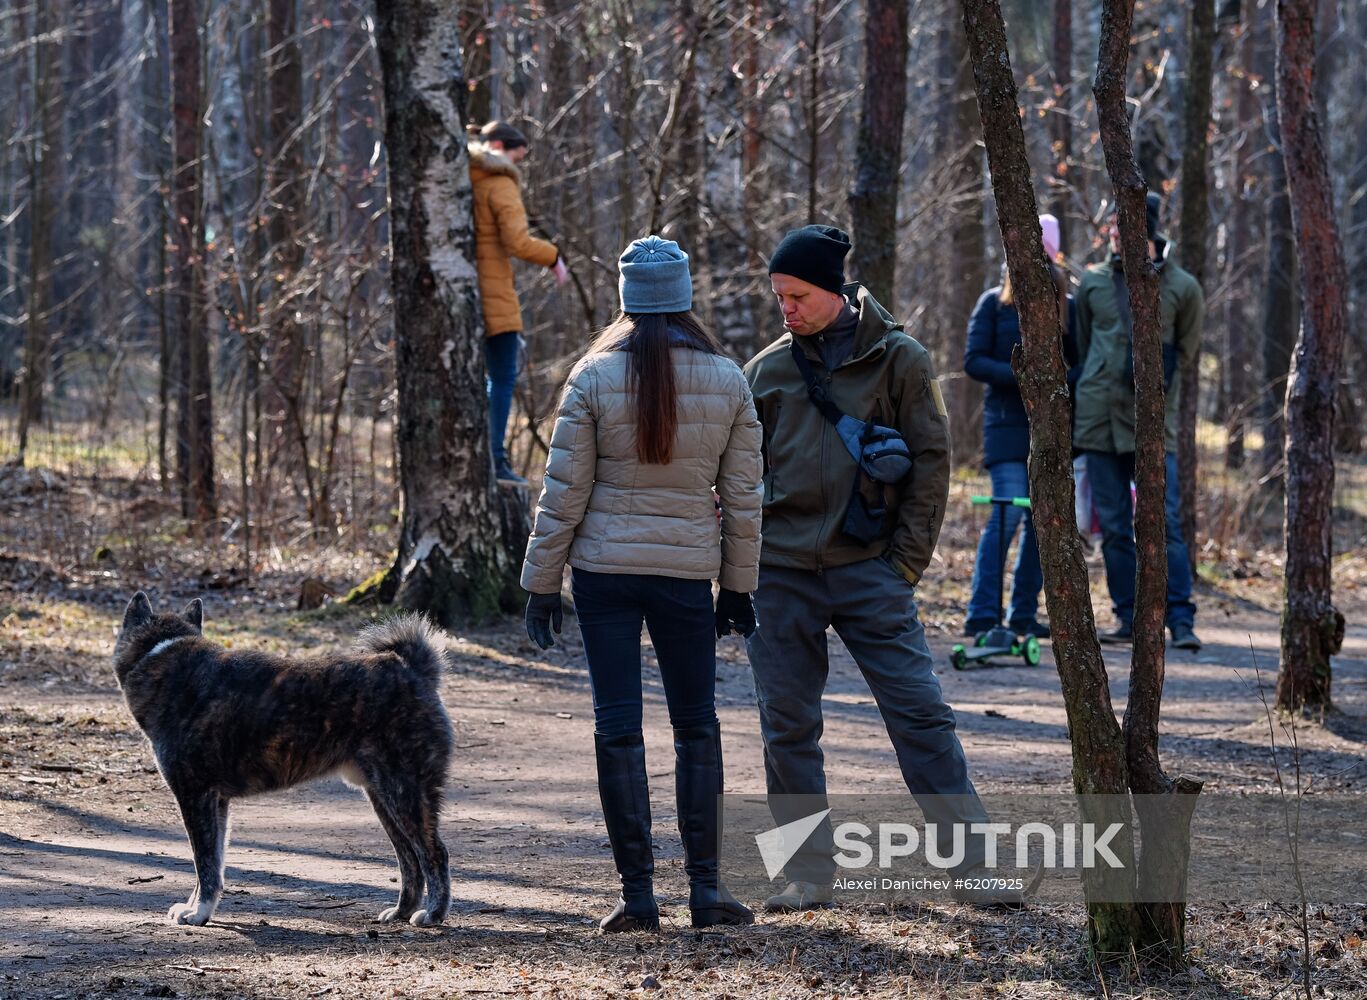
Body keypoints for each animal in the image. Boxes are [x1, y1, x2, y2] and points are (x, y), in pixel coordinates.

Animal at [113, 592, 454, 927]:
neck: (159, 653)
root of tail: (411, 668)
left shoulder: (196, 797)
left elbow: (204, 863)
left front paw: (198, 913)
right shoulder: (216, 802)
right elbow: (214, 863)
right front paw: (199, 908)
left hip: (405, 793)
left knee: (434, 853)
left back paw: (433, 914)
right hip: (383, 797)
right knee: (409, 858)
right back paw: (401, 911)